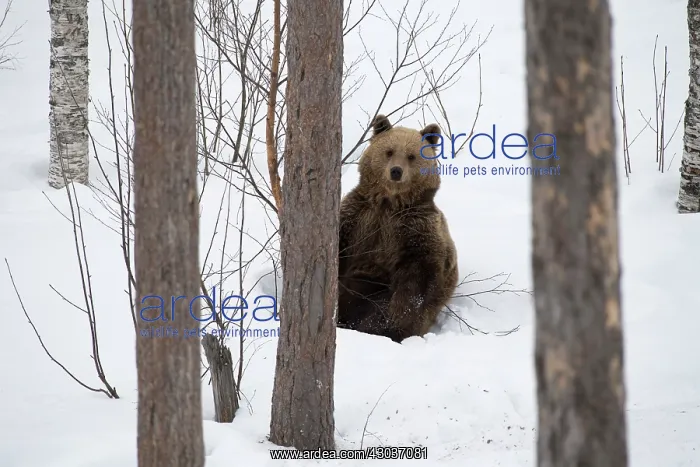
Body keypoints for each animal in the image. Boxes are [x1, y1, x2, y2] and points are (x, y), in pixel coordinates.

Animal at [337, 114, 459, 343]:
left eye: (411, 156)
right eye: (389, 151)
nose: (396, 171)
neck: (389, 203)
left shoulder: (415, 229)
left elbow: (415, 283)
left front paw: (391, 326)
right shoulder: (357, 217)